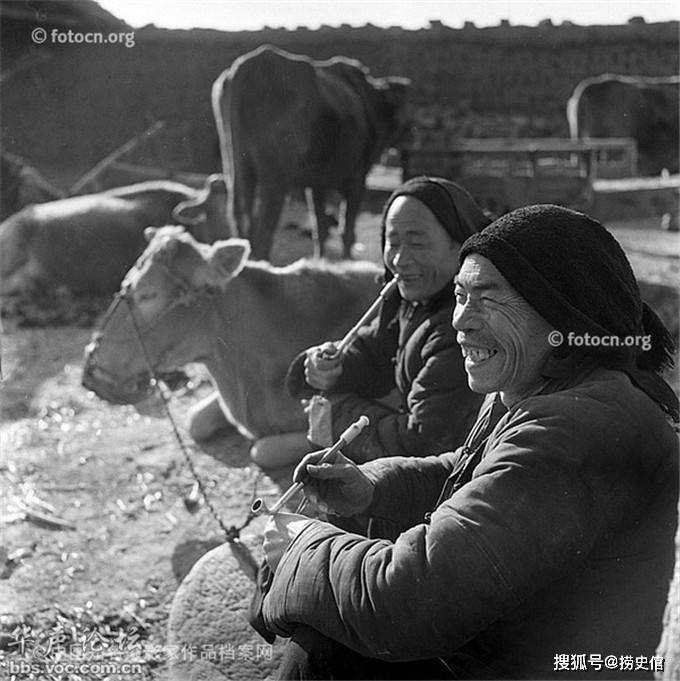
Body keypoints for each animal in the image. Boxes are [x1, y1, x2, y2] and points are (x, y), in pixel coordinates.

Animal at [212, 43, 410, 260]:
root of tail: (248, 67)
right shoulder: (357, 178)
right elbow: (347, 229)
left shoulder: (317, 183)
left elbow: (320, 226)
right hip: (275, 178)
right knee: (264, 228)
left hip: (236, 166)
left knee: (240, 215)